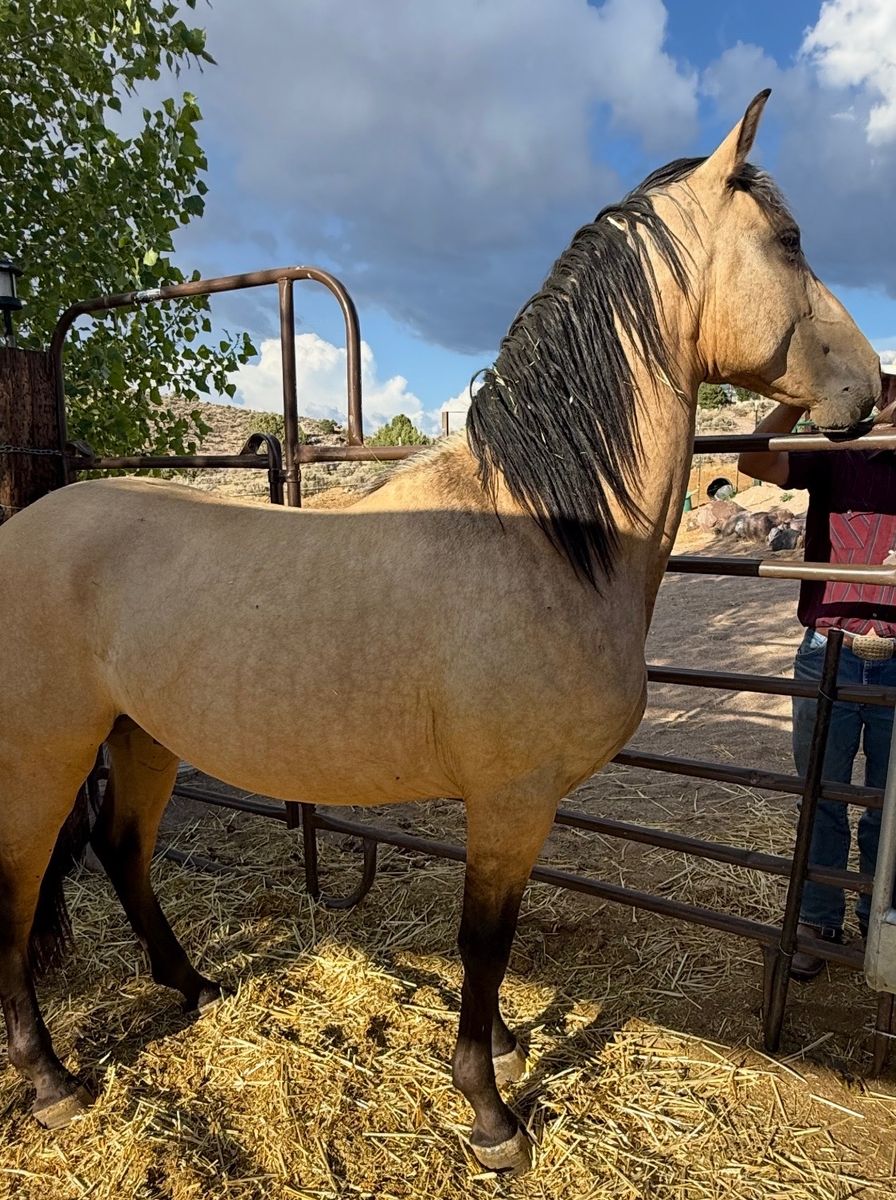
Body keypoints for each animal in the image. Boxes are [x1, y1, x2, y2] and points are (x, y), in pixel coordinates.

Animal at [0, 91, 882, 1174]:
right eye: (789, 241)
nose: (872, 385)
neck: (539, 533)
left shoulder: (508, 805)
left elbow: (495, 946)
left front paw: (499, 1046)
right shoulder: (511, 799)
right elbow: (484, 941)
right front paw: (492, 1111)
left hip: (145, 736)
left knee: (123, 854)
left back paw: (193, 986)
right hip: (43, 754)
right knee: (17, 897)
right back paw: (52, 1082)